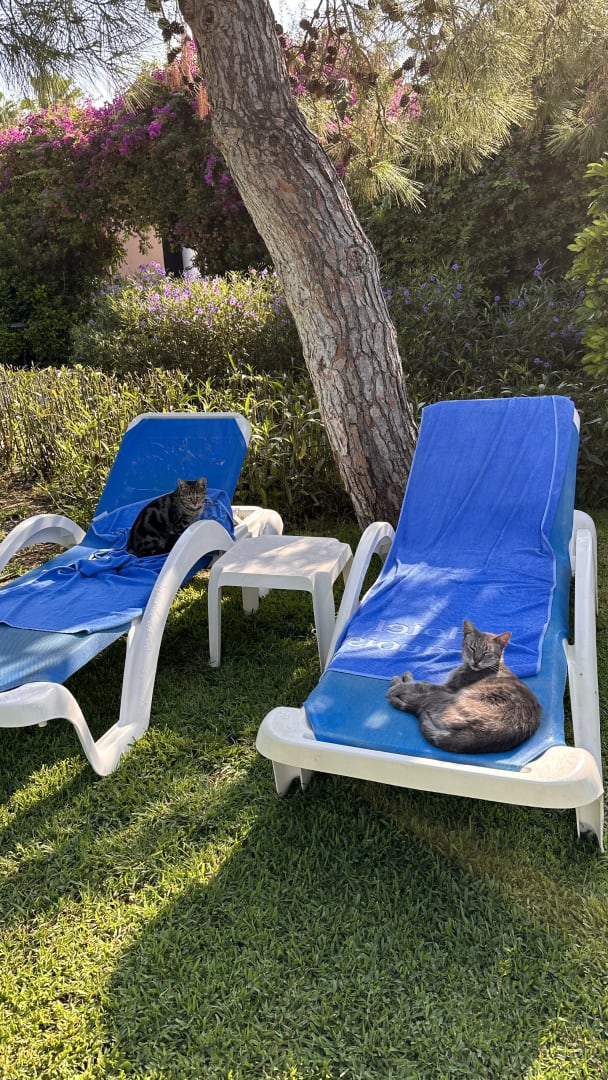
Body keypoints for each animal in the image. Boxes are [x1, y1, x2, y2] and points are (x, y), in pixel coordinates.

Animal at [386, 619, 541, 753]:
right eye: (472, 648)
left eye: (487, 652)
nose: (476, 661)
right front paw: (406, 677)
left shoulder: (447, 688)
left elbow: (419, 684)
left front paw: (400, 684)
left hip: (445, 697)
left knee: (418, 701)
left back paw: (397, 685)